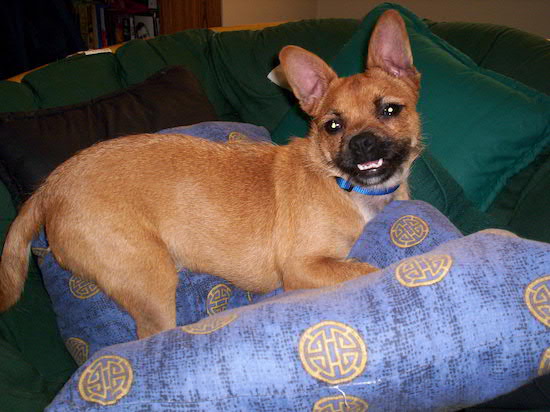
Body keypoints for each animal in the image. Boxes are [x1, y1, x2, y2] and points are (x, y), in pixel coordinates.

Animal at [0, 10, 424, 338]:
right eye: (332, 126)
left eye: (390, 110)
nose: (363, 143)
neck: (352, 189)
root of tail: (50, 187)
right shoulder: (305, 267)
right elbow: (370, 268)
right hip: (150, 277)